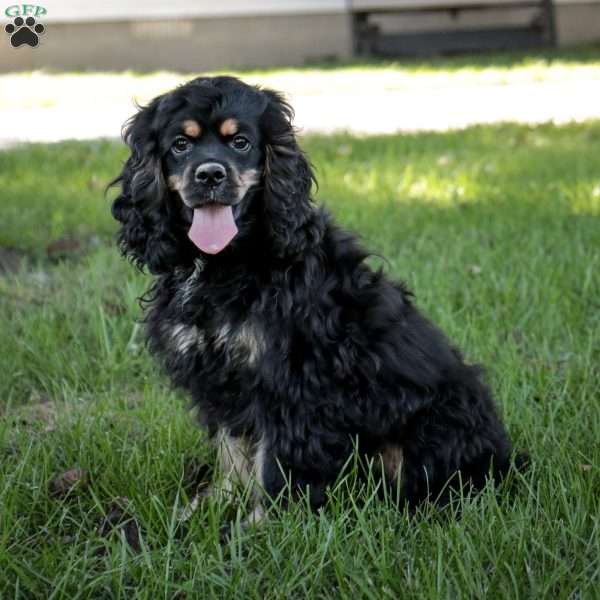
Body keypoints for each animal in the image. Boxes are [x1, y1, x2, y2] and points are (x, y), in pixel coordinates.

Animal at [111, 76, 520, 528]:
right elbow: (232, 449)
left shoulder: (288, 381)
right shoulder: (222, 378)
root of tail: (505, 460)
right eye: (181, 145)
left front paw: (262, 525)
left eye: (240, 142)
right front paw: (212, 506)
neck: (226, 262)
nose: (211, 174)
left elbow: (275, 464)